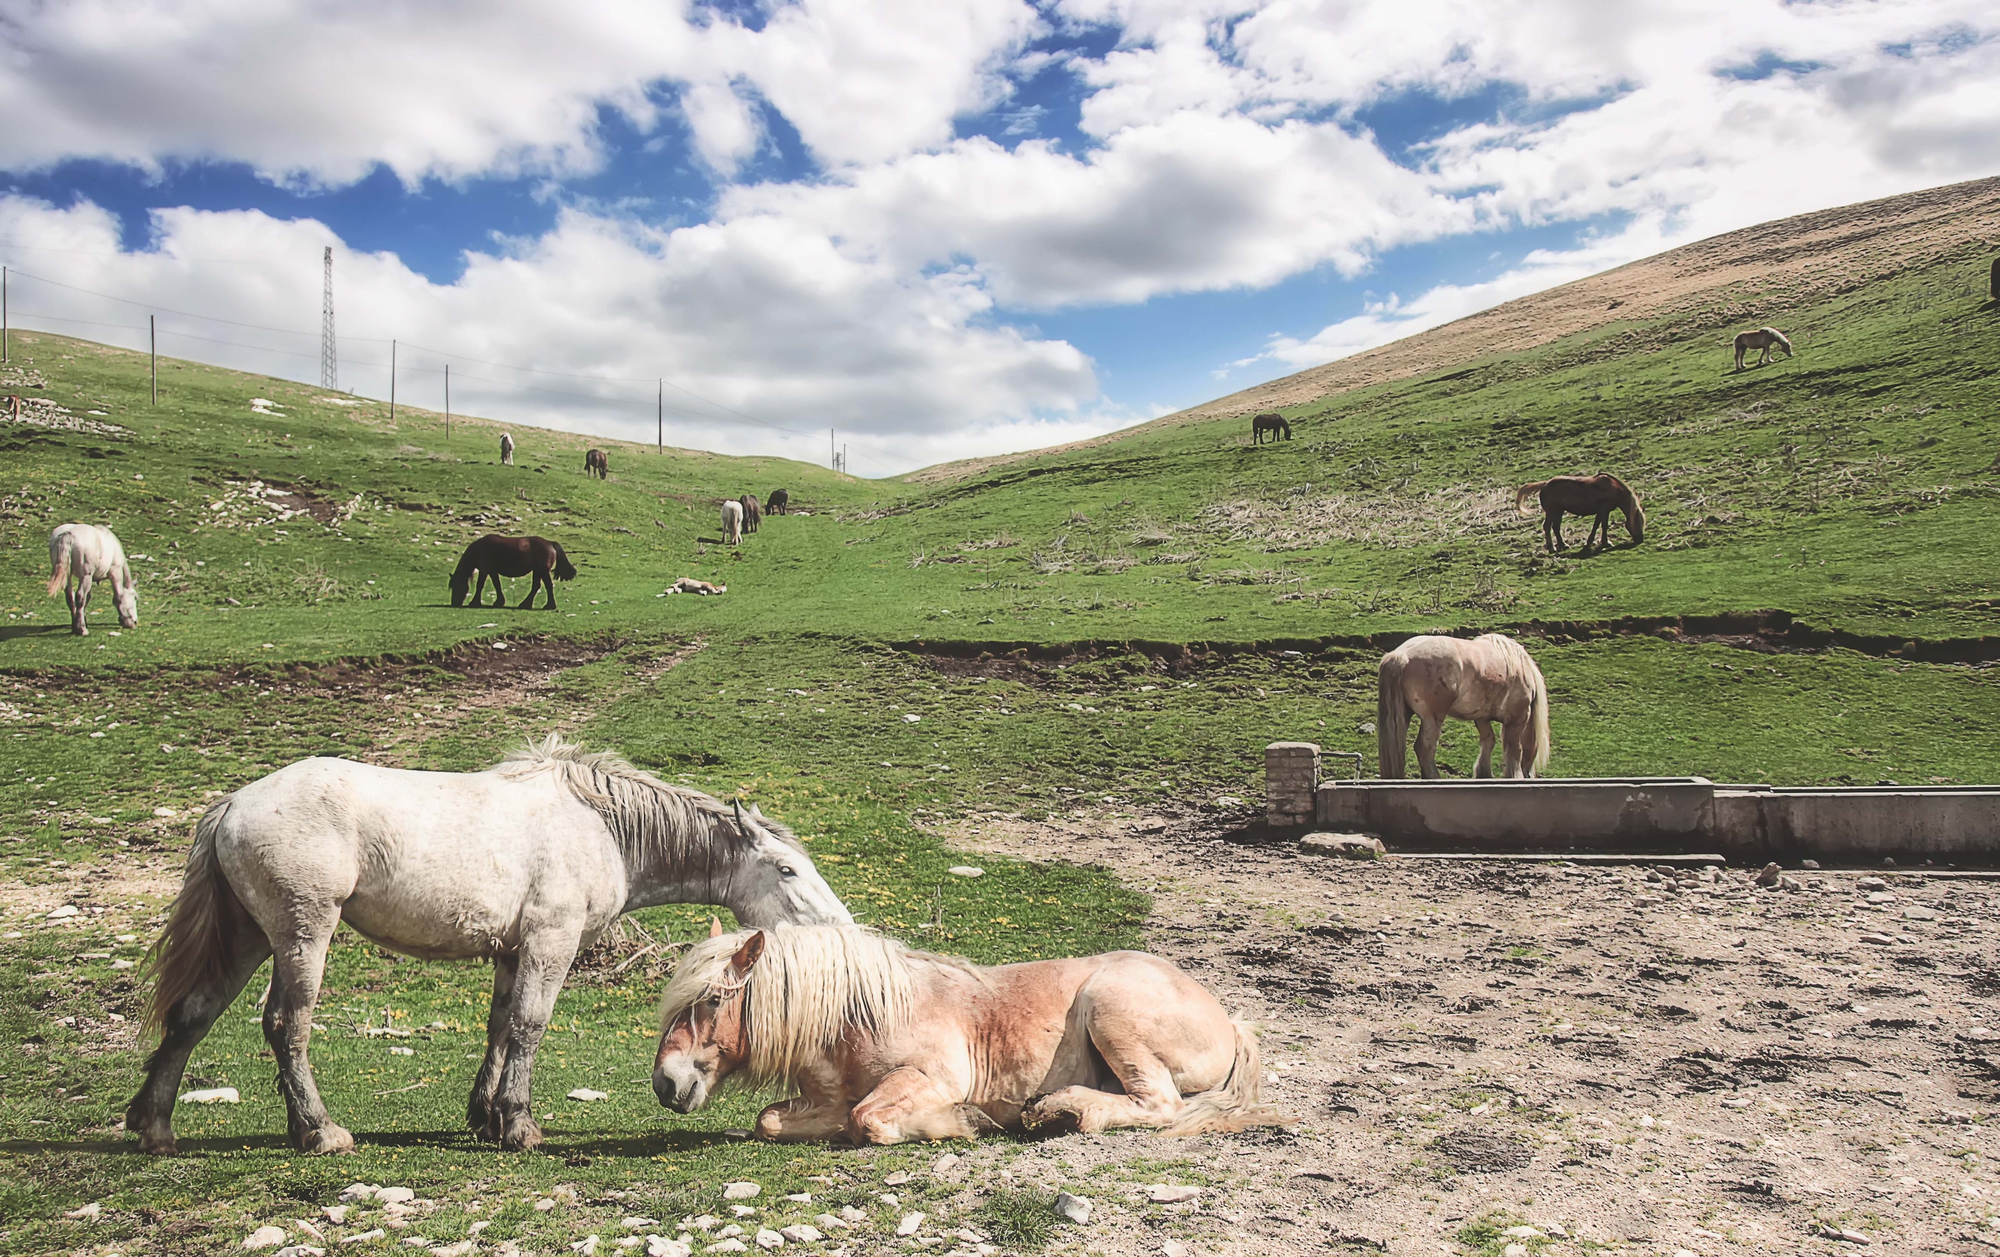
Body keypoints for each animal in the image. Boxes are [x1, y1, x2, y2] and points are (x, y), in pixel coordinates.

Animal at [131, 736, 852, 1160]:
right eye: (787, 869)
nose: (841, 926)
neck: (602, 828)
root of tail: (234, 804)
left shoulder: (512, 951)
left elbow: (500, 1027)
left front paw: (483, 1115)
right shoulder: (549, 945)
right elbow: (531, 1026)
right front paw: (518, 1124)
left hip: (249, 938)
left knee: (193, 1015)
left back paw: (153, 1124)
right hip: (302, 935)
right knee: (287, 1024)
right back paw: (319, 1130)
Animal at [648, 916, 1288, 1144]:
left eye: (711, 999)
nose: (665, 1084)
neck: (859, 1014)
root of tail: (1229, 1020)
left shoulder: (930, 1079)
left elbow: (868, 1121)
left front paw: (959, 1123)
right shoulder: (827, 1098)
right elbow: (773, 1121)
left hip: (1111, 1010)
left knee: (1158, 1104)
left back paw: (1061, 1110)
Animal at [1384, 632, 1552, 780]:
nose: (1529, 775)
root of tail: (1403, 655)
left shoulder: (1482, 718)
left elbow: (1488, 741)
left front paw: (1484, 773)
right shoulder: (1517, 719)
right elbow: (1514, 749)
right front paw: (1514, 775)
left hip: (1405, 715)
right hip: (1432, 717)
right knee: (1424, 748)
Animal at [1512, 474, 1640, 552]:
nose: (1640, 539)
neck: (1613, 488)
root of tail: (1544, 484)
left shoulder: (1603, 511)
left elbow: (1599, 525)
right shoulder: (1604, 510)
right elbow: (1602, 526)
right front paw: (1605, 543)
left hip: (1559, 512)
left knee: (1555, 527)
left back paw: (1563, 545)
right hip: (1552, 512)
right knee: (1547, 526)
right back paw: (1552, 547)